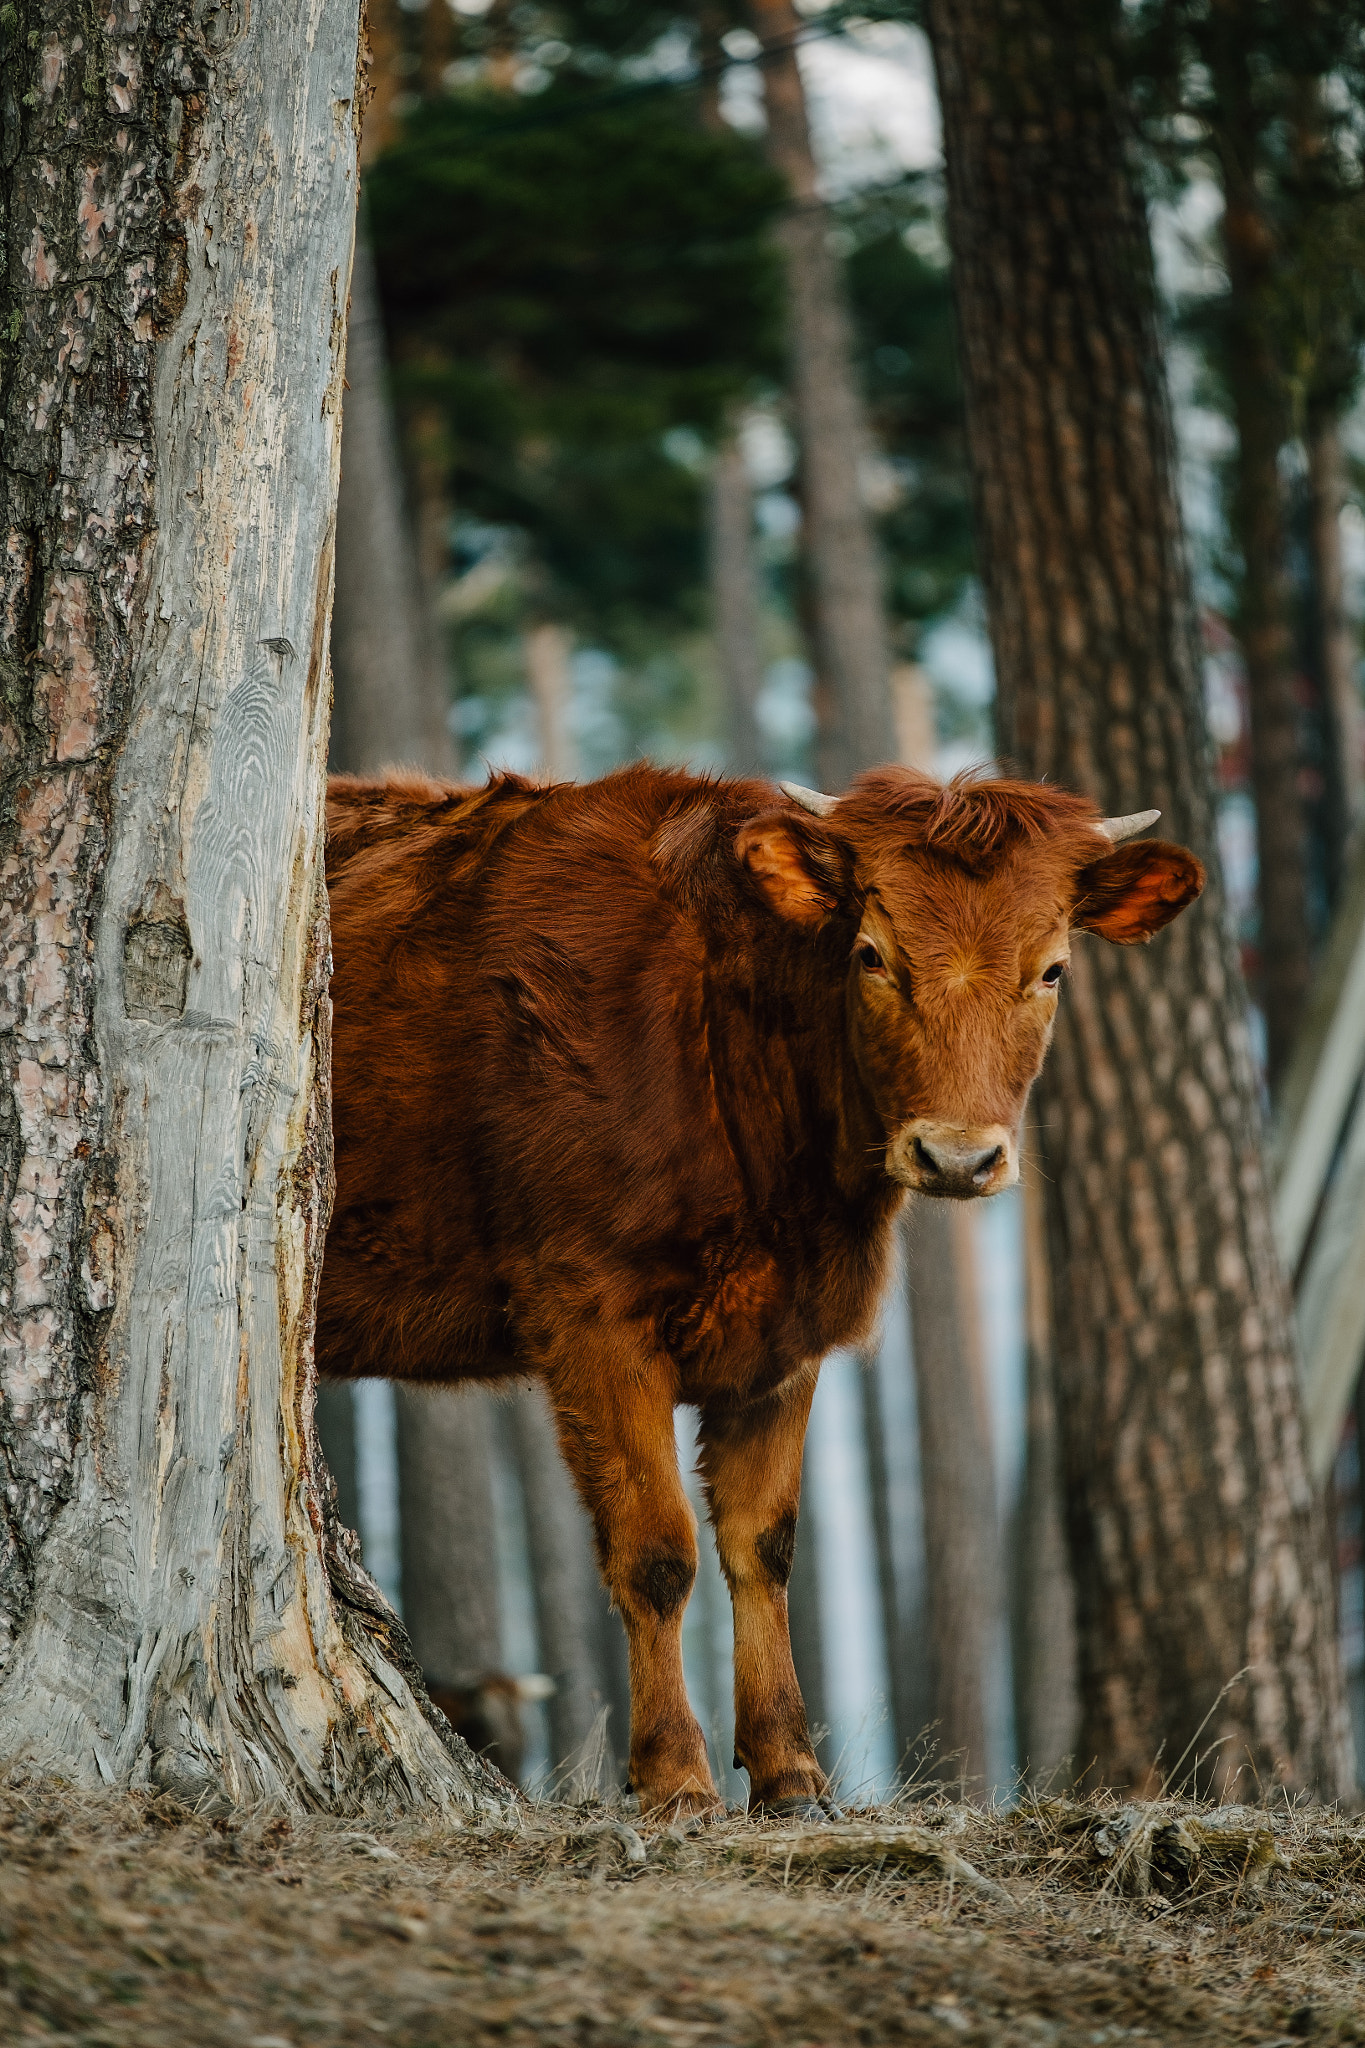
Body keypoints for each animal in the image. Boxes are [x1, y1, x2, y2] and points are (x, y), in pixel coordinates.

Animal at [319, 762, 1203, 1819]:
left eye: (1053, 969)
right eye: (870, 954)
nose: (957, 1156)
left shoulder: (786, 1336)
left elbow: (762, 1546)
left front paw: (790, 1772)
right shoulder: (588, 1311)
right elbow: (657, 1550)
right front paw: (675, 1779)